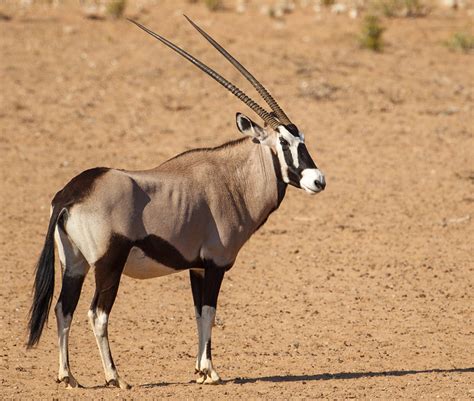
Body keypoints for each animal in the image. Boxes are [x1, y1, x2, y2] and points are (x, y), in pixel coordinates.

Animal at [27, 16, 326, 388]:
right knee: (97, 313)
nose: (317, 180)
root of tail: (71, 194)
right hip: (108, 264)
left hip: (75, 264)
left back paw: (68, 376)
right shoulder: (215, 263)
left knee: (62, 308)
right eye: (284, 143)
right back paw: (115, 377)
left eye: (302, 139)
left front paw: (200, 370)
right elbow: (210, 312)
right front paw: (210, 372)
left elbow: (198, 314)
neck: (232, 180)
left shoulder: (197, 266)